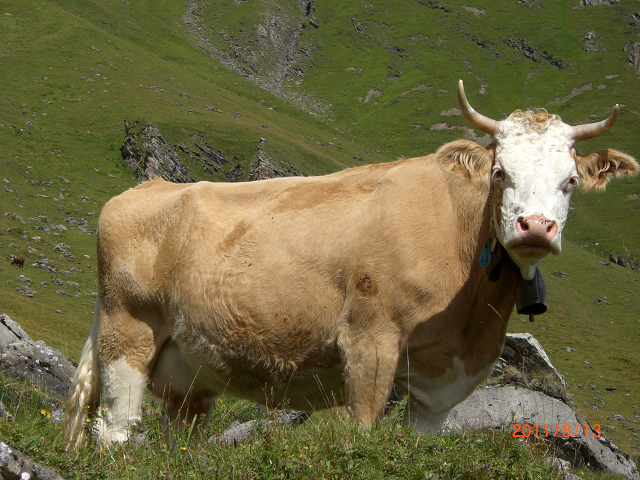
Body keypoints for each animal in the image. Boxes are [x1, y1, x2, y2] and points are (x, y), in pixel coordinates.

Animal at [62, 79, 636, 450]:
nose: (535, 227)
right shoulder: (369, 341)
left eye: (570, 180)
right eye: (500, 172)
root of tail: (145, 189)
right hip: (128, 332)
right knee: (115, 432)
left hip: (190, 369)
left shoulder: (442, 384)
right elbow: (360, 434)